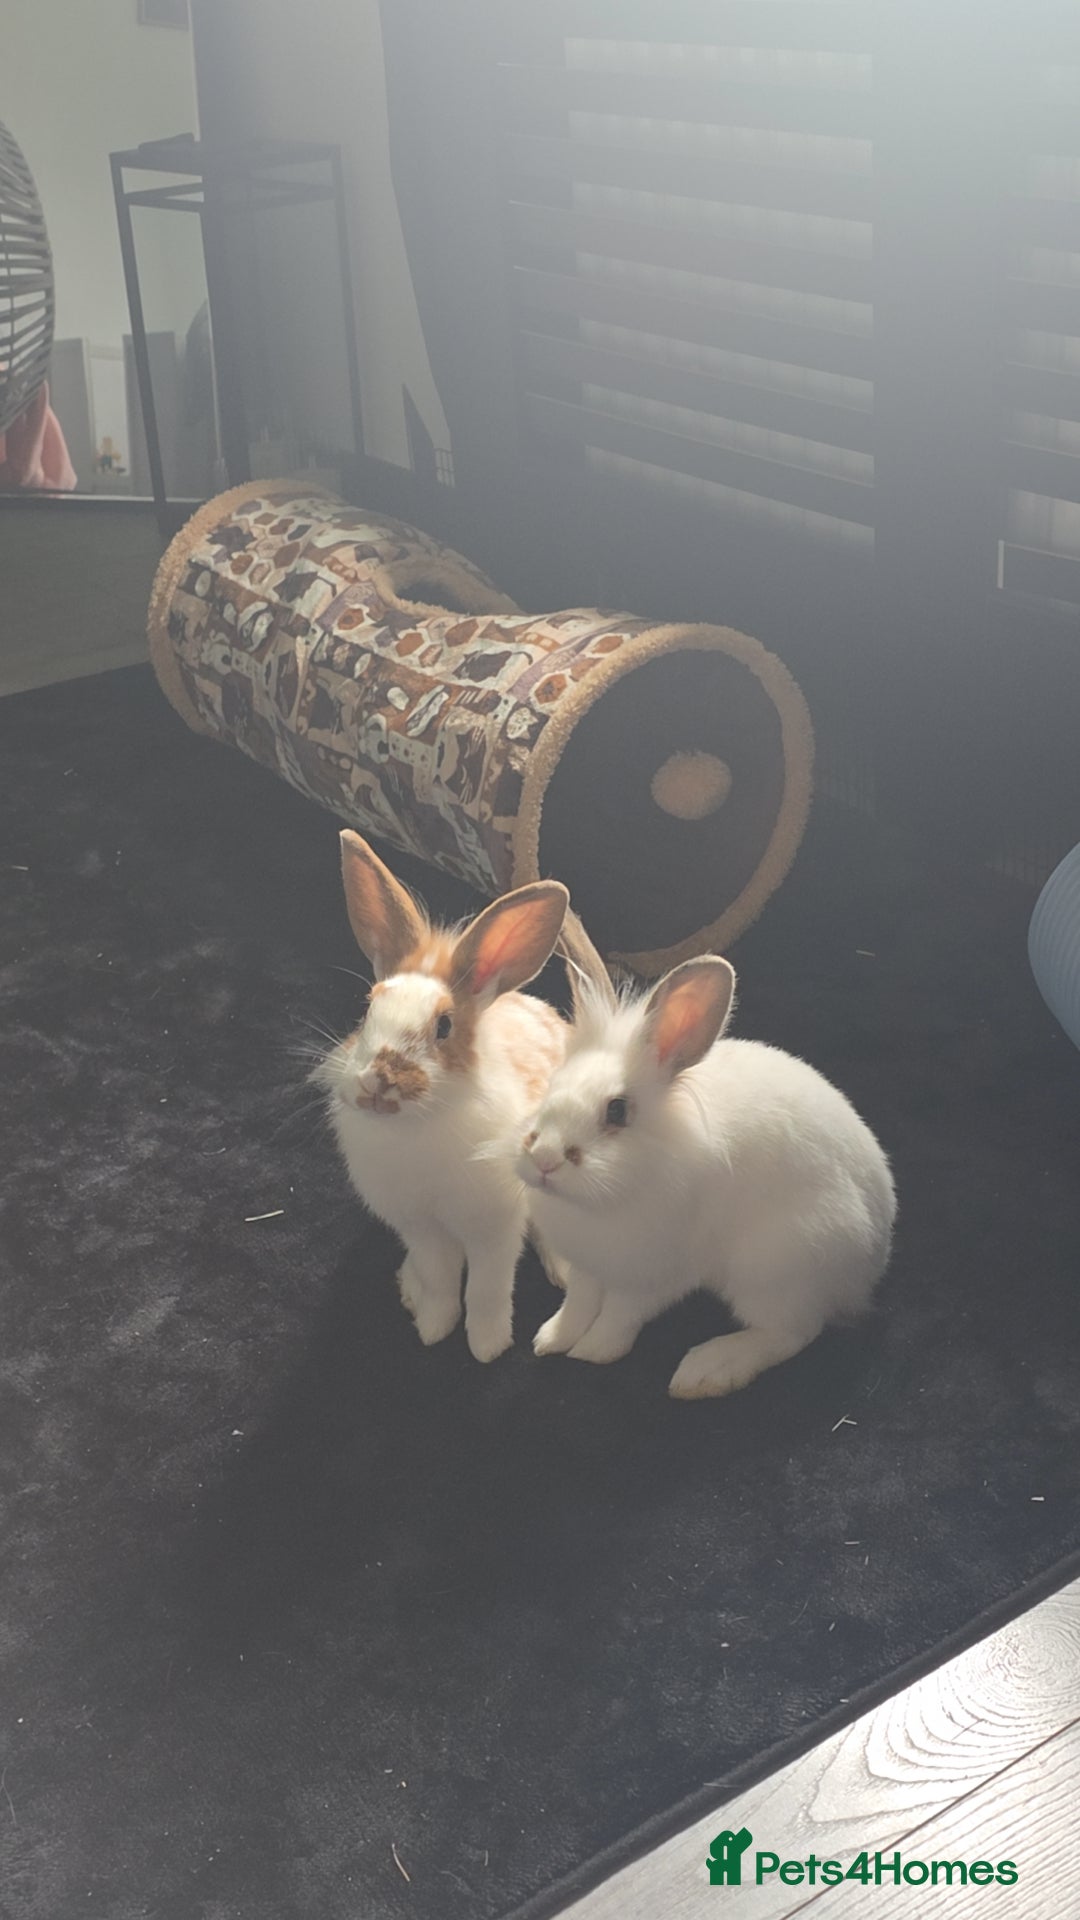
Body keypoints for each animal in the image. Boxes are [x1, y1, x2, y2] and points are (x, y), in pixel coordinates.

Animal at [314, 831, 569, 1362]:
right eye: (368, 1009)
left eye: (445, 1026)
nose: (378, 1081)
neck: (418, 1126)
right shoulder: (422, 1229)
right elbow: (440, 1280)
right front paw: (433, 1327)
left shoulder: (494, 1228)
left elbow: (488, 1288)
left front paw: (487, 1346)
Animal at [517, 916, 896, 1398]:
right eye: (551, 1087)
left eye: (617, 1111)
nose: (545, 1159)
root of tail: (870, 1268)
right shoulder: (586, 1267)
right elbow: (577, 1305)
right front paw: (551, 1339)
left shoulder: (652, 1275)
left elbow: (619, 1316)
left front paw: (594, 1352)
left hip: (773, 1269)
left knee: (793, 1332)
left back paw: (708, 1370)